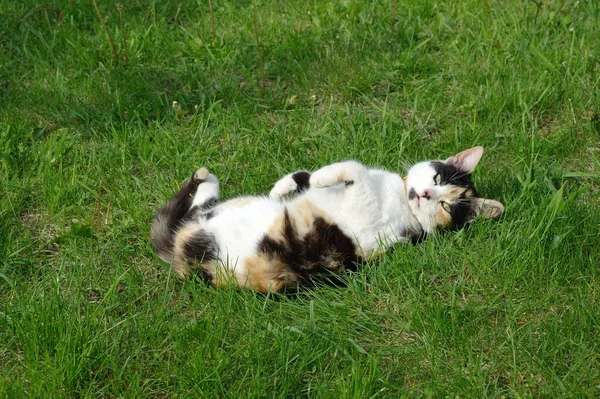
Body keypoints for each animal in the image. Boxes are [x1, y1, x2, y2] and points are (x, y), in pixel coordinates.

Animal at [150, 145, 502, 292]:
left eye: (446, 207)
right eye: (439, 178)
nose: (426, 194)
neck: (401, 199)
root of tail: (183, 262)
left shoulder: (364, 210)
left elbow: (354, 167)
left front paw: (321, 177)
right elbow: (300, 178)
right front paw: (281, 190)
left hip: (205, 231)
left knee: (192, 212)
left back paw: (205, 178)